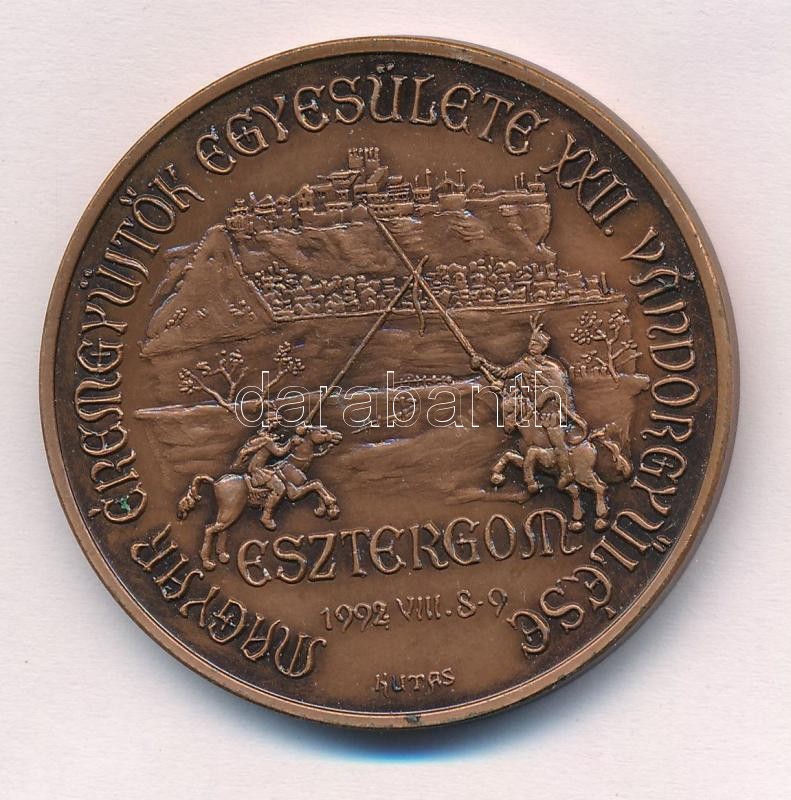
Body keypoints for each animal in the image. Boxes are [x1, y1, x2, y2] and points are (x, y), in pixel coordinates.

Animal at [176, 425, 343, 570]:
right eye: (322, 431)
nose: (338, 436)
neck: (294, 464)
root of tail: (216, 482)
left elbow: (317, 483)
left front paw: (324, 509)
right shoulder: (293, 493)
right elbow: (315, 485)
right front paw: (331, 506)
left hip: (228, 511)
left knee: (221, 530)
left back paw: (222, 556)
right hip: (232, 510)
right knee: (210, 530)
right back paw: (207, 563)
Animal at [490, 392, 631, 532]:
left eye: (512, 408)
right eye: (503, 408)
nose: (508, 428)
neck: (535, 432)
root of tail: (590, 443)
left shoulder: (546, 458)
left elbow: (531, 452)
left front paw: (532, 485)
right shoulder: (531, 463)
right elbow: (510, 456)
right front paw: (497, 477)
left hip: (583, 474)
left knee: (600, 487)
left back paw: (600, 520)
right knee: (580, 490)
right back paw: (577, 522)